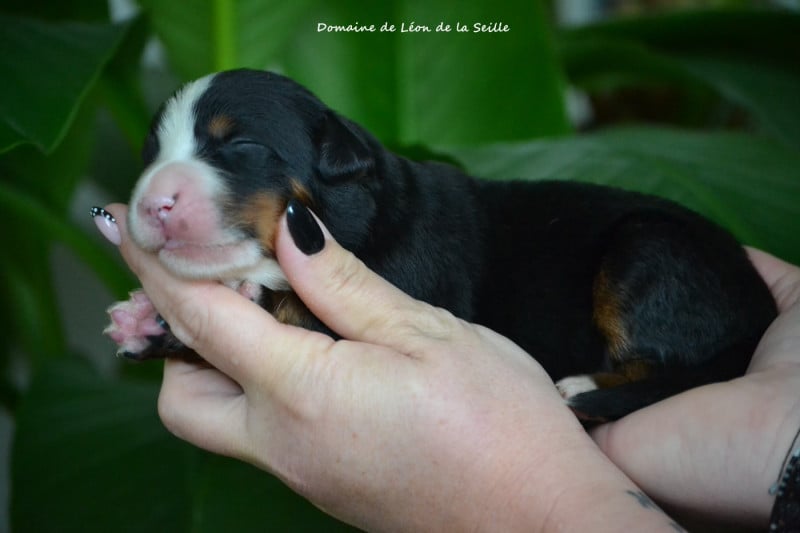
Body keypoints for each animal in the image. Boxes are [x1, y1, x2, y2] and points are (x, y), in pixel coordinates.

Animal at [101, 69, 777, 421]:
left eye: (239, 145)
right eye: (151, 155)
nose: (152, 204)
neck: (362, 215)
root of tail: (761, 310)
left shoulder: (413, 289)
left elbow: (292, 307)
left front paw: (236, 293)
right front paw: (147, 320)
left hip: (649, 250)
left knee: (670, 366)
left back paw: (584, 385)